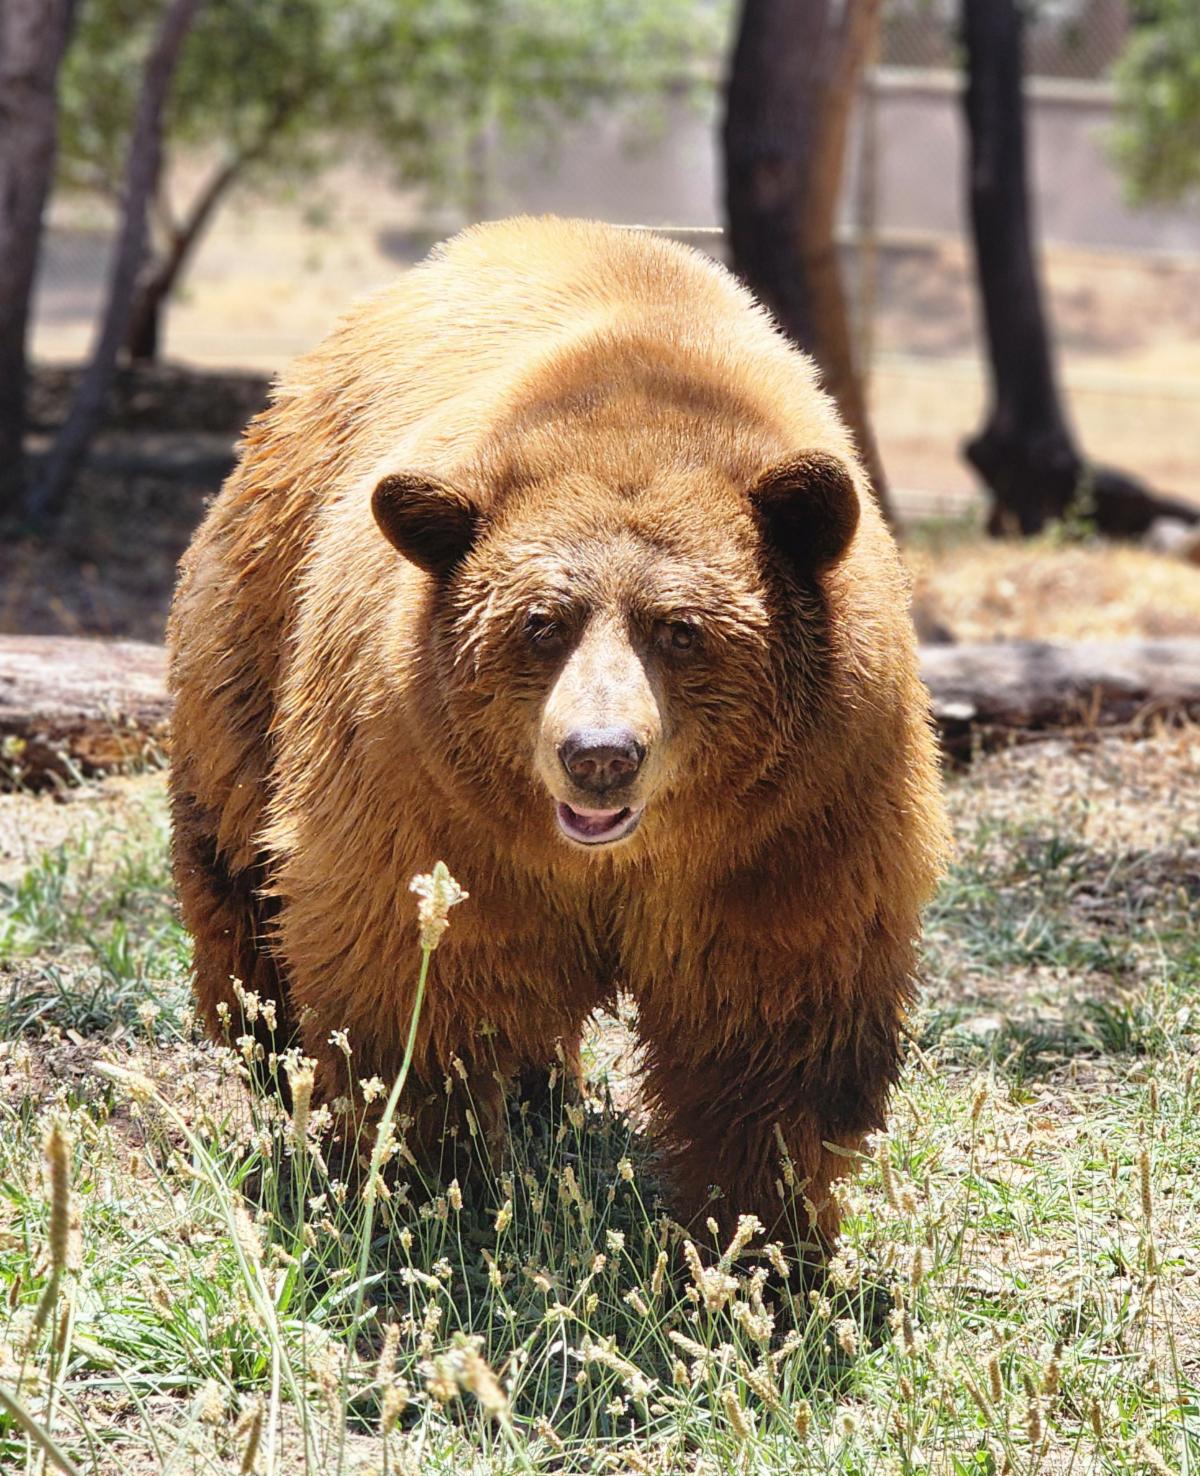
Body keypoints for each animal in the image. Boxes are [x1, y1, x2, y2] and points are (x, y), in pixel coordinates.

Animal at [168, 216, 948, 1248]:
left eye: (681, 628)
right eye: (543, 622)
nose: (600, 756)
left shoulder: (795, 821)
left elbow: (772, 1025)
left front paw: (760, 1232)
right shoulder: (424, 790)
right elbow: (415, 974)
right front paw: (427, 1186)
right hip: (261, 613)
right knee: (237, 844)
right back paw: (267, 1037)